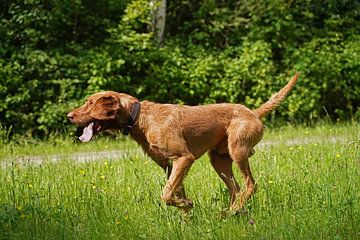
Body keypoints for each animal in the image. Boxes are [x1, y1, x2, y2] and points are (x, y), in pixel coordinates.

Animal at [67, 73, 298, 212]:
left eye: (89, 103)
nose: (68, 116)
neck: (140, 117)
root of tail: (253, 113)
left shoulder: (183, 158)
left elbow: (165, 194)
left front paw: (187, 203)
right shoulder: (170, 166)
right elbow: (174, 192)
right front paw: (187, 215)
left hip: (238, 150)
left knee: (251, 185)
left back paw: (231, 213)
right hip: (219, 160)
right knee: (237, 189)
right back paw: (233, 213)